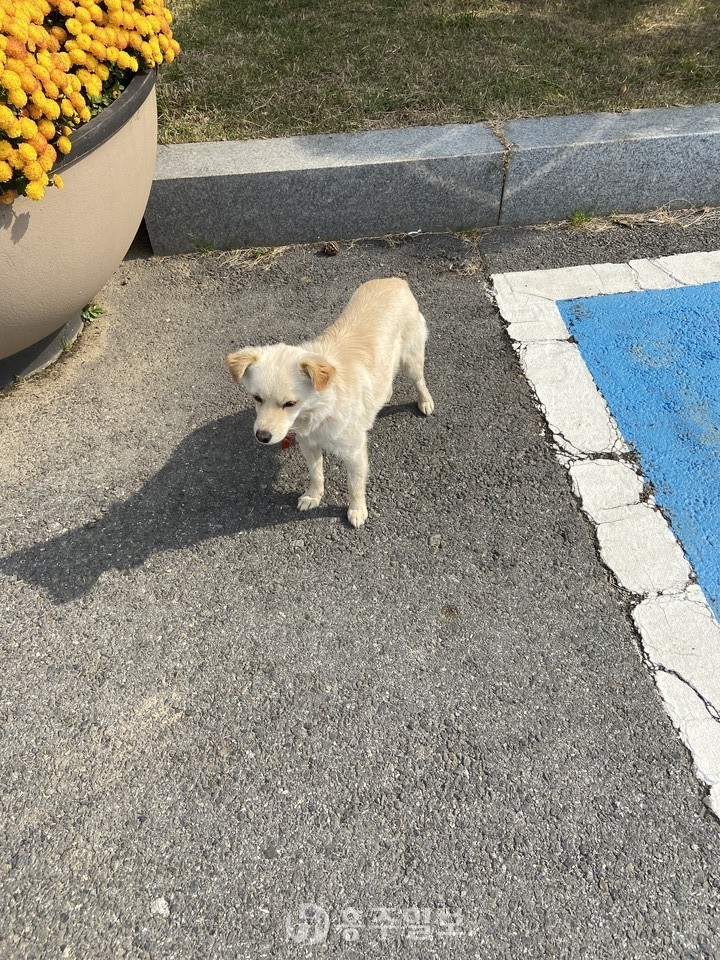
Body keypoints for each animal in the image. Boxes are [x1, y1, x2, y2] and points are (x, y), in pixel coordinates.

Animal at [228, 278, 436, 528]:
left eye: (290, 403)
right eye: (257, 398)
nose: (262, 436)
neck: (318, 410)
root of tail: (395, 280)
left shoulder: (355, 452)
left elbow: (355, 486)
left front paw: (357, 510)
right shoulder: (308, 444)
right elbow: (316, 474)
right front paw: (313, 496)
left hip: (412, 360)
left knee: (420, 381)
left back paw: (425, 402)